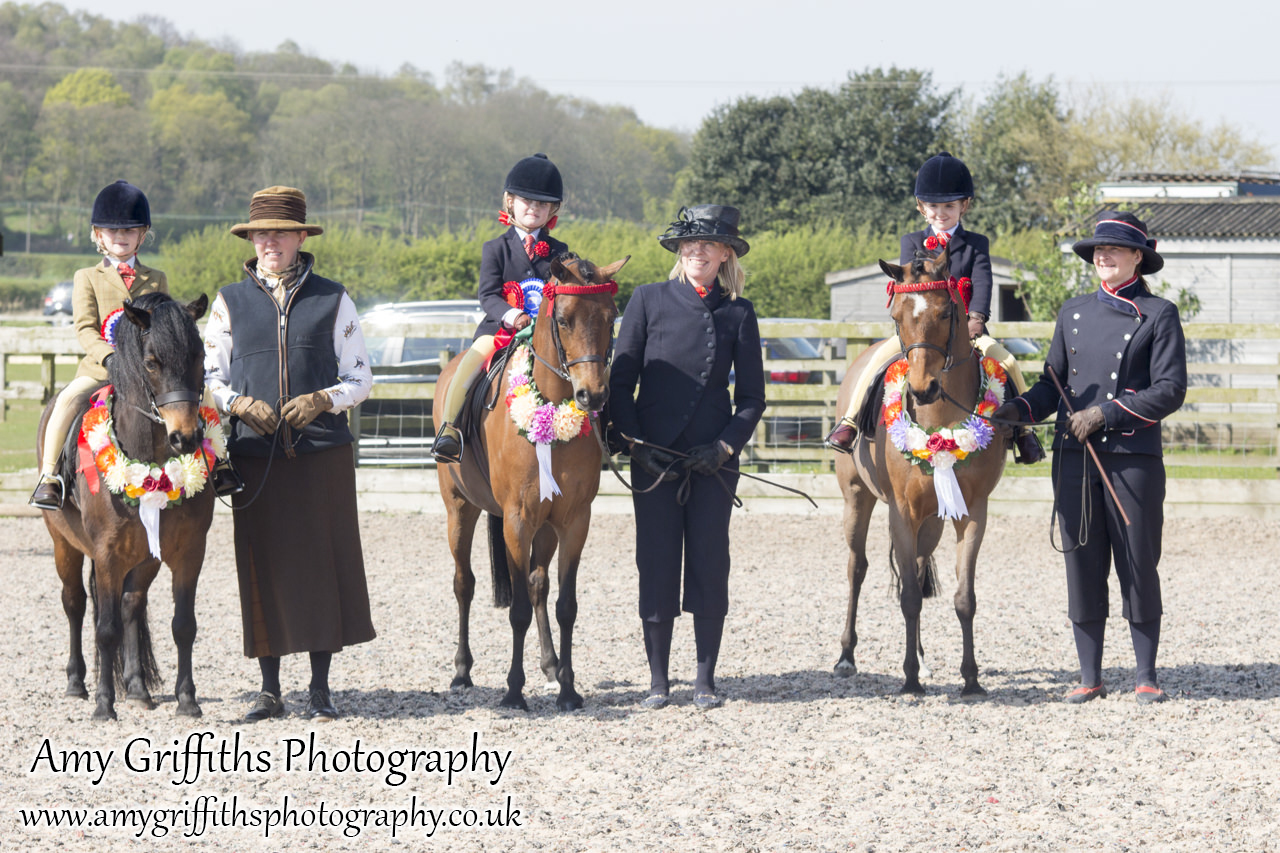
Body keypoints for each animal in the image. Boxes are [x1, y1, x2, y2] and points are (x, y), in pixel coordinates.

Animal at [39, 292, 215, 717]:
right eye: (152, 362)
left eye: (200, 355)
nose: (185, 438)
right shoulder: (106, 554)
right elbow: (105, 629)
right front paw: (104, 705)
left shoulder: (189, 552)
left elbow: (183, 625)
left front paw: (187, 700)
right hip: (64, 544)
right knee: (75, 603)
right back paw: (77, 684)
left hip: (146, 555)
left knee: (131, 605)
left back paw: (137, 688)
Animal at [435, 252, 624, 712]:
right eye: (564, 319)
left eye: (611, 317)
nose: (593, 396)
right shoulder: (516, 520)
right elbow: (516, 609)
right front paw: (513, 691)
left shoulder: (573, 521)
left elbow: (565, 605)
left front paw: (569, 690)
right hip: (459, 508)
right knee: (464, 584)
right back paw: (462, 671)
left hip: (544, 524)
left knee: (538, 585)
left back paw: (551, 665)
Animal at [839, 244, 1008, 691]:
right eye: (897, 316)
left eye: (947, 313)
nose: (921, 389)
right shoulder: (901, 513)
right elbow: (909, 598)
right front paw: (910, 680)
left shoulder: (973, 512)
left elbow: (963, 598)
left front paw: (970, 679)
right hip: (857, 499)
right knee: (857, 568)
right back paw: (846, 656)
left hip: (931, 521)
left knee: (914, 568)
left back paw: (922, 659)